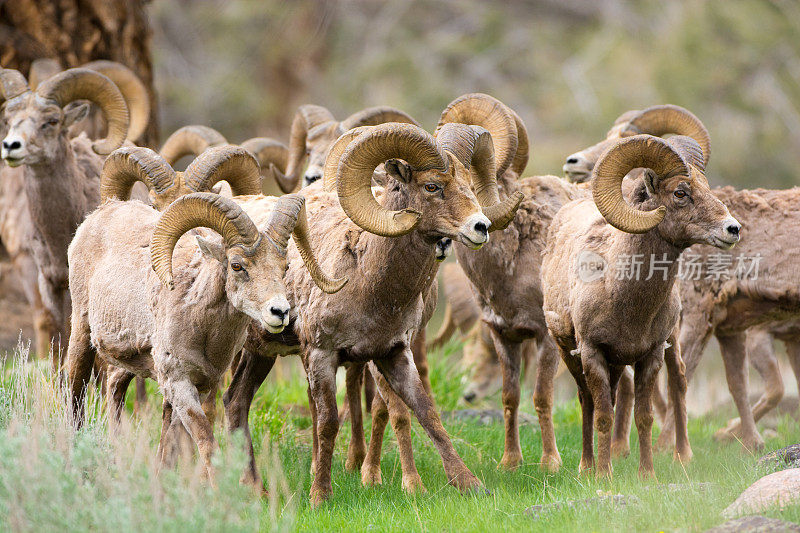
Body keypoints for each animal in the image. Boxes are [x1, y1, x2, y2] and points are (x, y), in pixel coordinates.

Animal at [67, 145, 342, 482]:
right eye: (237, 266)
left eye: (285, 266)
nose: (280, 312)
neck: (203, 330)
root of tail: (102, 214)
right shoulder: (179, 383)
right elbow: (205, 441)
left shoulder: (204, 385)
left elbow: (178, 439)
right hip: (81, 333)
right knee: (75, 390)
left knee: (115, 388)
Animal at [223, 121, 524, 508]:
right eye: (432, 186)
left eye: (470, 186)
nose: (480, 227)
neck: (368, 282)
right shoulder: (320, 355)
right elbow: (328, 423)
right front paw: (320, 495)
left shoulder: (393, 353)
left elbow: (426, 413)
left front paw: (468, 485)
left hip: (259, 353)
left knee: (236, 403)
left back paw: (254, 489)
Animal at [540, 135, 740, 476]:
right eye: (680, 193)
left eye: (706, 186)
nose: (733, 229)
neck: (627, 300)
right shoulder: (592, 353)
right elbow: (603, 415)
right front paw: (604, 476)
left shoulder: (650, 355)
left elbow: (643, 416)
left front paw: (647, 475)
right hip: (569, 353)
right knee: (587, 401)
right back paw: (587, 466)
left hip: (653, 350)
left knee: (676, 384)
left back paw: (680, 456)